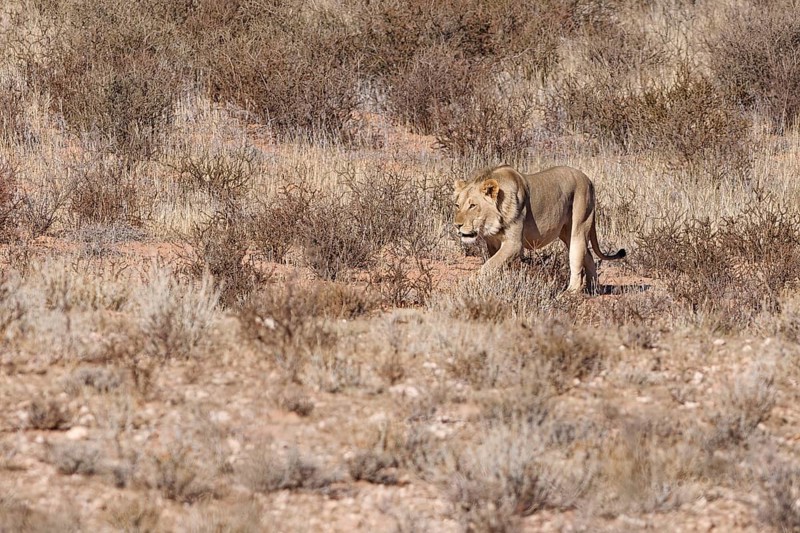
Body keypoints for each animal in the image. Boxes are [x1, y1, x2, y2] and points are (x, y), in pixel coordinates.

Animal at [453, 164, 626, 292]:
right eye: (457, 205)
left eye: (473, 205)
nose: (457, 225)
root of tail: (588, 179)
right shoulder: (493, 243)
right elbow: (495, 264)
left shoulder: (514, 244)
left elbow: (489, 265)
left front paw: (469, 283)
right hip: (566, 232)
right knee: (587, 255)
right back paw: (593, 289)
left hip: (579, 224)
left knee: (577, 256)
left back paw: (569, 293)